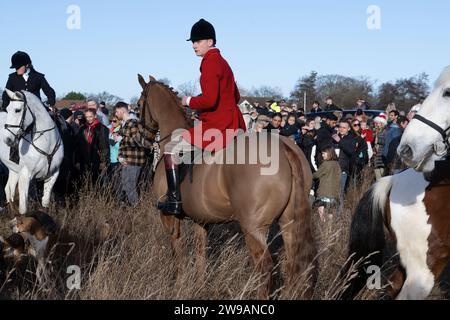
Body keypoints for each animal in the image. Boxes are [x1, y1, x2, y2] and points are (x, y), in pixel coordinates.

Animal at [137, 74, 316, 298]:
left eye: (139, 105)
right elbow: (201, 252)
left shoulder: (169, 217)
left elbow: (177, 252)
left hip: (254, 227)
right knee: (292, 264)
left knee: (265, 268)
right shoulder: (200, 219)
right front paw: (200, 286)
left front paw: (179, 285)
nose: (141, 139)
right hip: (289, 222)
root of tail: (284, 147)